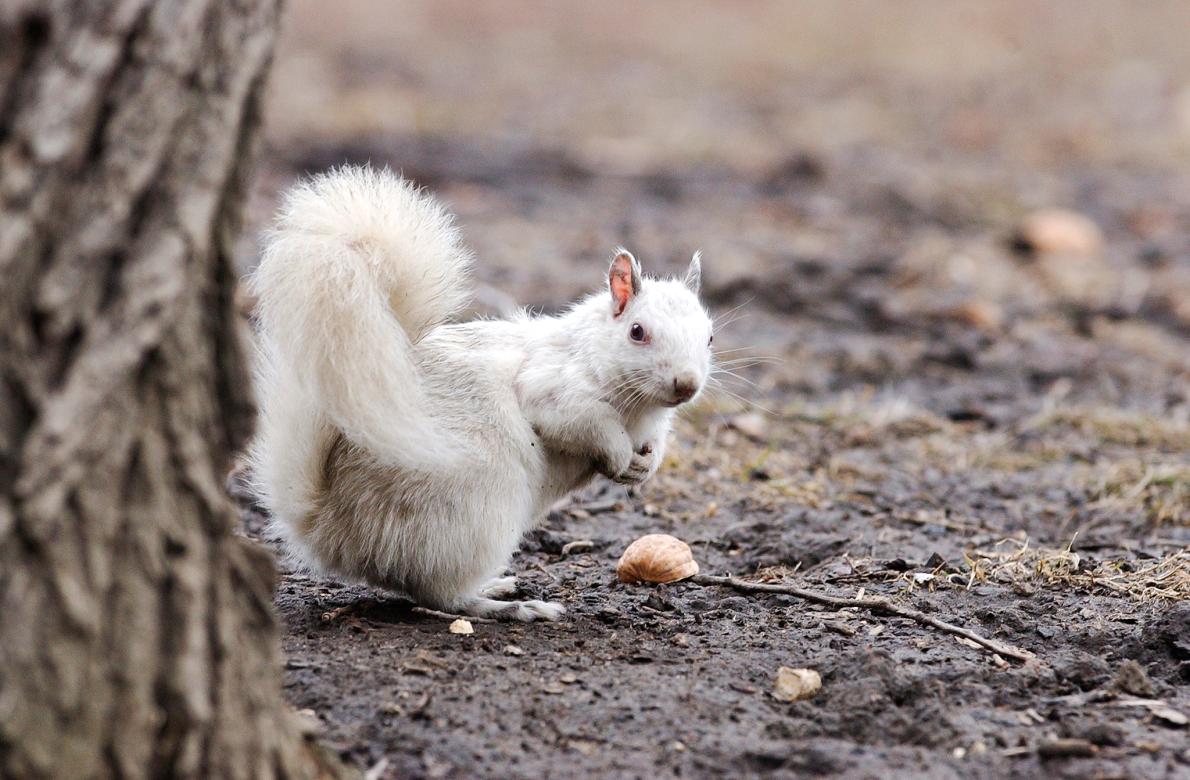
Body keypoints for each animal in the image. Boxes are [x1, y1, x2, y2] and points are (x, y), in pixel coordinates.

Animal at [246, 166, 709, 624]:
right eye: (637, 332)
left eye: (709, 336)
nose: (686, 384)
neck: (639, 408)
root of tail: (331, 527)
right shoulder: (550, 389)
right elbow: (588, 424)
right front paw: (618, 458)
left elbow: (655, 442)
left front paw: (645, 466)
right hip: (475, 510)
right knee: (438, 594)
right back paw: (509, 606)